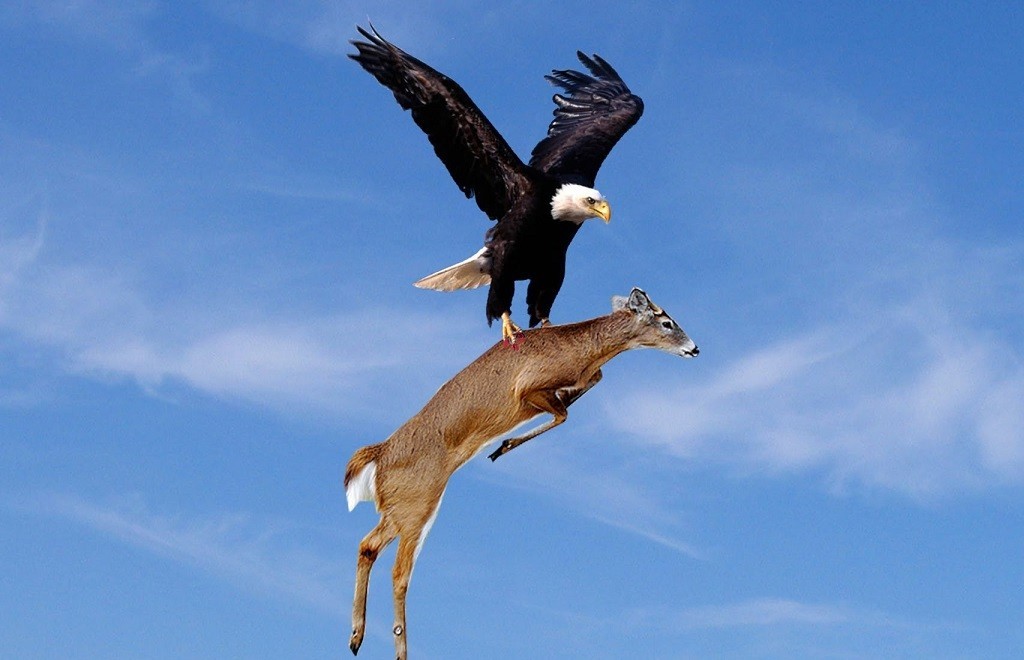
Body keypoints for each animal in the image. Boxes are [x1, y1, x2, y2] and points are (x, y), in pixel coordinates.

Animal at [344, 286, 696, 654]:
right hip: (419, 506)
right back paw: (397, 648)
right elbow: (564, 412)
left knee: (367, 546)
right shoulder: (528, 388)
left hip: (399, 509)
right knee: (399, 574)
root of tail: (380, 454)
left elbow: (584, 390)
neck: (583, 349)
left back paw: (356, 636)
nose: (694, 348)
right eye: (667, 322)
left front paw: (503, 446)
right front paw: (503, 446)